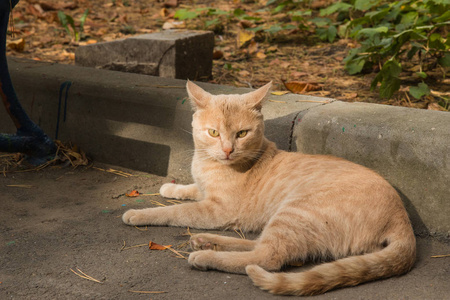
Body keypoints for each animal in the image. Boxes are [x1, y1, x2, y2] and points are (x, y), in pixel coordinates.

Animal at [121, 80, 416, 296]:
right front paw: (171, 189)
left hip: (294, 213)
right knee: (255, 244)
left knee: (266, 257)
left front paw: (140, 213)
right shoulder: (205, 192)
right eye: (214, 133)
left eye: (242, 134)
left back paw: (205, 255)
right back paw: (207, 241)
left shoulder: (217, 210)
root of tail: (402, 218)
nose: (228, 150)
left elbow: (173, 212)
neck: (208, 163)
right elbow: (190, 190)